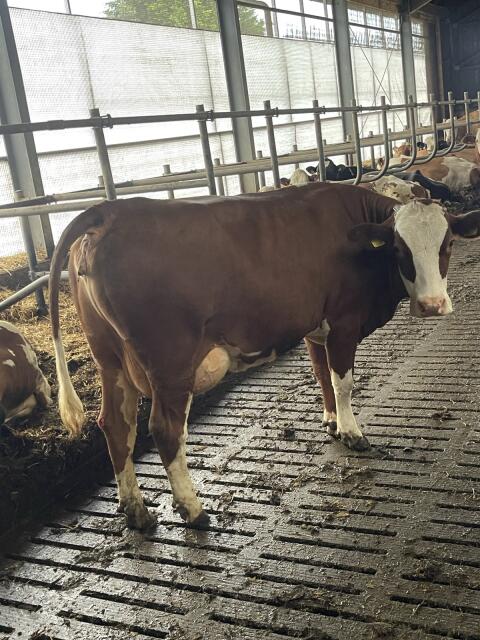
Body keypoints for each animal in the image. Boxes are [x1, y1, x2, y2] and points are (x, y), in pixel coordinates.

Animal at [49, 184, 480, 530]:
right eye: (399, 248)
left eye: (447, 245)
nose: (432, 305)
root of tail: (109, 211)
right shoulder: (343, 322)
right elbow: (343, 381)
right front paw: (352, 432)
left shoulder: (314, 325)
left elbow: (322, 375)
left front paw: (331, 422)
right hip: (170, 362)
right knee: (164, 430)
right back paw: (193, 510)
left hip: (108, 357)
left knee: (115, 424)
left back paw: (136, 510)